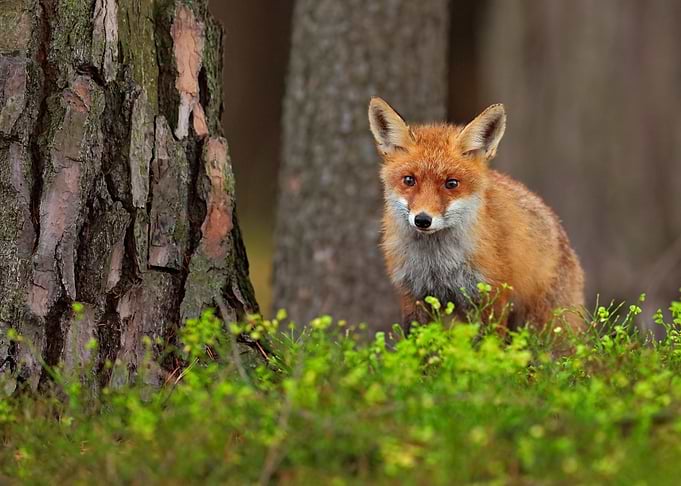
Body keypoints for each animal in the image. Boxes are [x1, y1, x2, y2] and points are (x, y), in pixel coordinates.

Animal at [368, 97, 585, 332]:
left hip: (544, 323)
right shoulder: (413, 295)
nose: (423, 220)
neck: (437, 264)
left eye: (451, 183)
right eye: (409, 180)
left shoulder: (492, 294)